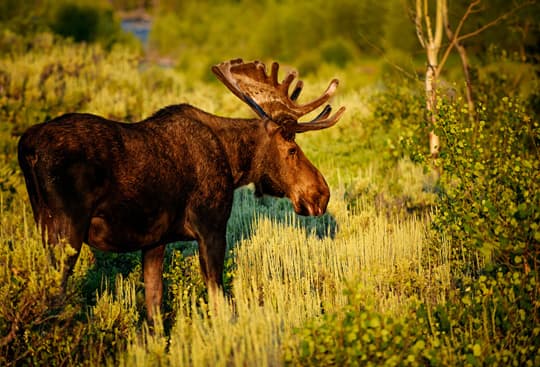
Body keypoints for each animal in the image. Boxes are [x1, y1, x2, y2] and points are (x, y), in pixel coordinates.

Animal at [17, 59, 346, 320]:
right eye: (292, 149)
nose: (321, 193)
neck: (234, 163)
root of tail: (27, 148)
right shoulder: (211, 228)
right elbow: (218, 300)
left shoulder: (154, 241)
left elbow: (154, 308)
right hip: (66, 230)